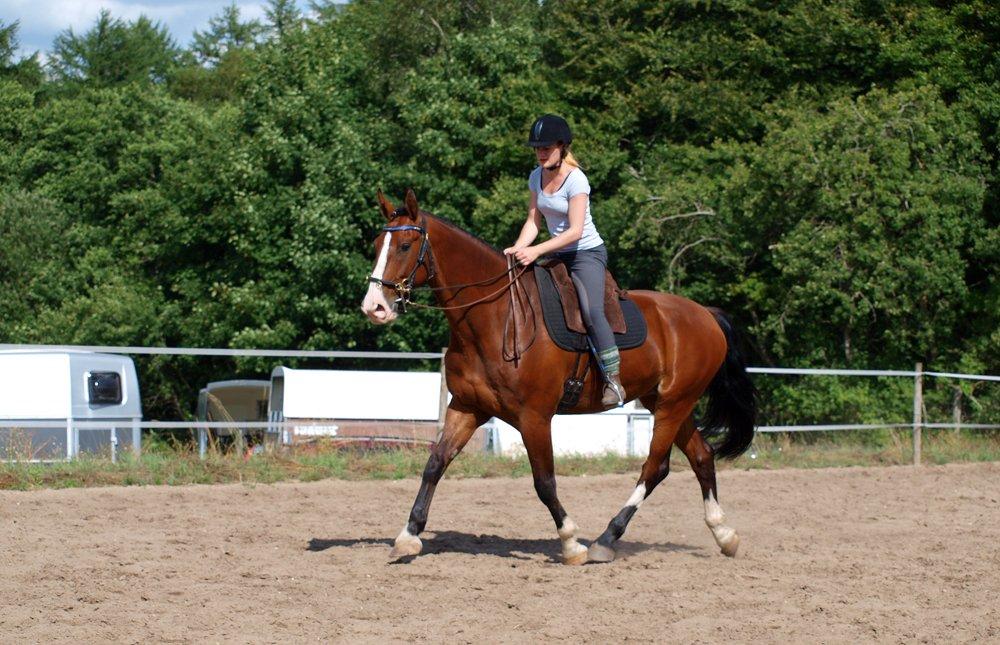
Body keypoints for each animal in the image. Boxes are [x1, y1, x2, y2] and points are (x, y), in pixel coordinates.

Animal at [362, 189, 756, 560]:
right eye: (377, 246)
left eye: (406, 246)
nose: (374, 307)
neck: (496, 316)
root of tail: (705, 314)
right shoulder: (467, 408)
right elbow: (435, 465)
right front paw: (408, 535)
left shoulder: (534, 417)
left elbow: (544, 481)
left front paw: (570, 542)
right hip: (668, 401)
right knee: (701, 456)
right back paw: (724, 534)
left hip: (673, 404)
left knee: (654, 467)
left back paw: (606, 539)